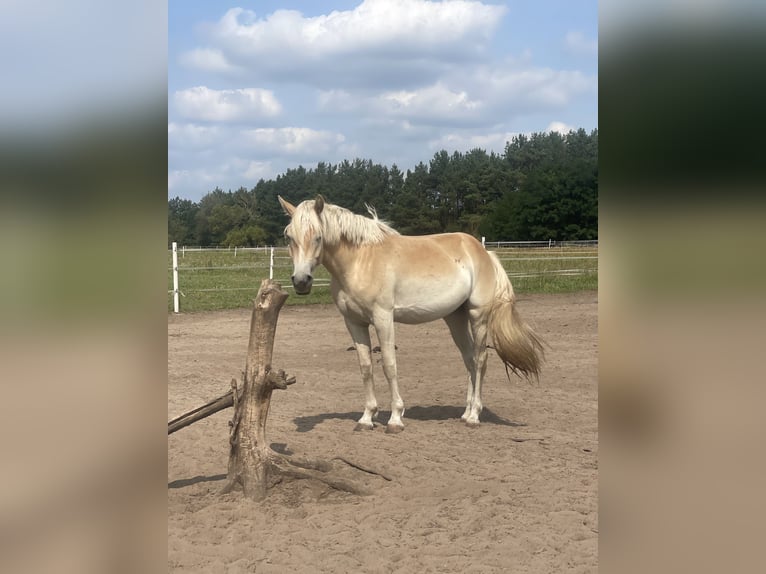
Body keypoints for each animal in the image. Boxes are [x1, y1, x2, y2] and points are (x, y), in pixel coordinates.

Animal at [280, 196, 544, 434]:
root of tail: (484, 252)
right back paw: (466, 411)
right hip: (455, 318)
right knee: (469, 359)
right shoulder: (354, 322)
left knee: (480, 360)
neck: (360, 262)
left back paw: (474, 416)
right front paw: (367, 418)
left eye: (318, 236)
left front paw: (395, 418)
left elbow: (389, 365)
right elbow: (366, 367)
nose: (301, 281)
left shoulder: (383, 319)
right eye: (289, 237)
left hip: (477, 316)